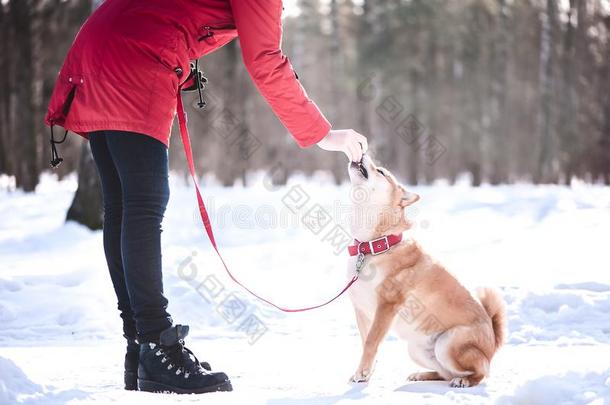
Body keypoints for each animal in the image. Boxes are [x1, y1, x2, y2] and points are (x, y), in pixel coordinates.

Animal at [344, 155, 506, 388]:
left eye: (381, 171)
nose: (363, 154)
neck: (375, 245)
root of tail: (492, 345)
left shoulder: (386, 306)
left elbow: (371, 342)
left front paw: (362, 373)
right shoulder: (362, 309)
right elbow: (367, 342)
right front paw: (367, 373)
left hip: (448, 343)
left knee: (479, 373)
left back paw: (463, 381)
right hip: (416, 350)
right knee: (445, 373)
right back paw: (423, 375)